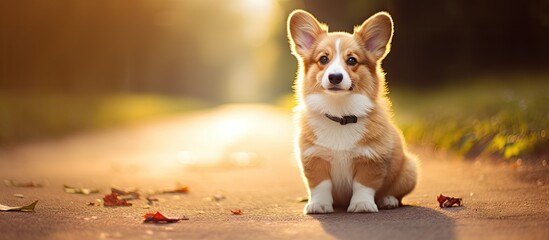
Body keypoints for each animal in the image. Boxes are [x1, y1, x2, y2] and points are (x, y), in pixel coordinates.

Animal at [286, 9, 416, 214]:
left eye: (352, 60)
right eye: (323, 59)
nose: (335, 77)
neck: (340, 114)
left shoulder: (371, 158)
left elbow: (363, 185)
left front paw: (362, 205)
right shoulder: (314, 157)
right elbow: (320, 185)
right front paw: (318, 205)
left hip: (409, 170)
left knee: (395, 191)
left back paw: (388, 200)